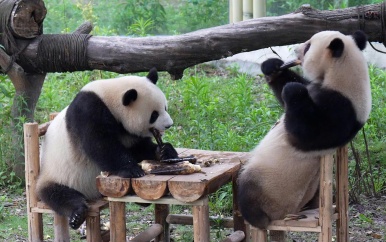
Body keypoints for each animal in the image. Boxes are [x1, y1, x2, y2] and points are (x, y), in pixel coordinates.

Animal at [35, 67, 178, 229]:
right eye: (154, 115)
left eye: (165, 107)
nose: (169, 125)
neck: (108, 99)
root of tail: (93, 194)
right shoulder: (88, 111)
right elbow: (101, 145)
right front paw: (132, 169)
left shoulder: (125, 130)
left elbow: (136, 147)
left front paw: (164, 151)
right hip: (58, 175)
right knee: (60, 195)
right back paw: (77, 214)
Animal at [237, 29, 372, 238]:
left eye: (308, 46)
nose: (295, 49)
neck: (341, 73)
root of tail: (287, 212)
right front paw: (273, 66)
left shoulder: (343, 108)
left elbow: (307, 132)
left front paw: (293, 90)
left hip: (272, 185)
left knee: (247, 190)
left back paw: (254, 216)